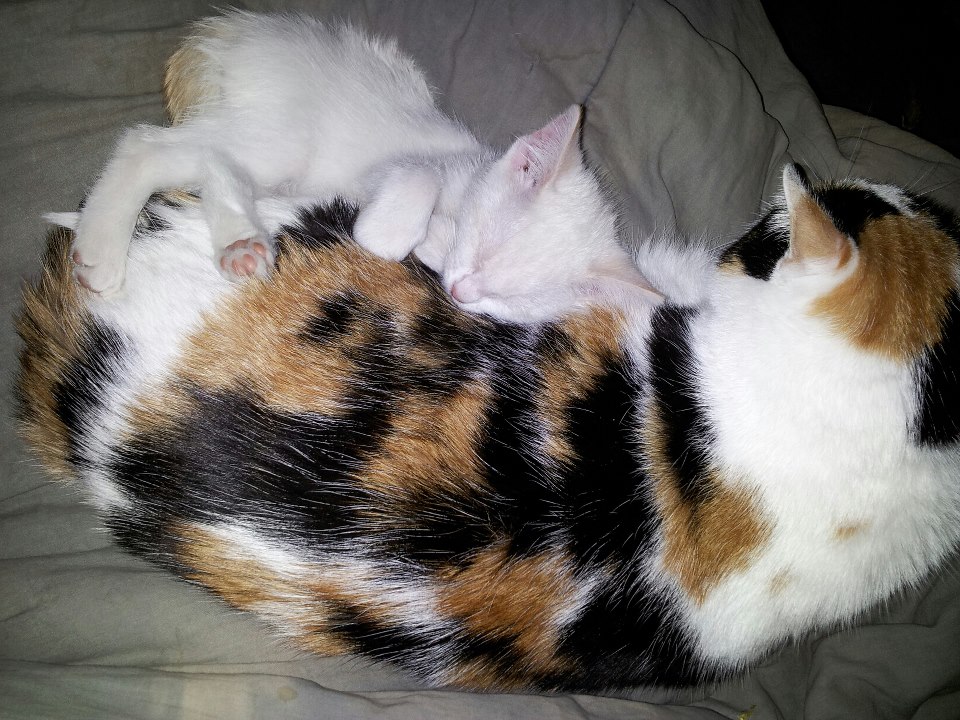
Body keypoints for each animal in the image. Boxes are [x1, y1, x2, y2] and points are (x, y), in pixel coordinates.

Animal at [63, 10, 660, 322]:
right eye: (487, 246)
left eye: (515, 297)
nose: (461, 293)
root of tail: (229, 31)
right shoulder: (411, 166)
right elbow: (413, 186)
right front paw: (395, 235)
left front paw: (430, 247)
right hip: (283, 132)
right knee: (151, 146)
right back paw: (107, 248)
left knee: (211, 161)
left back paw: (239, 242)